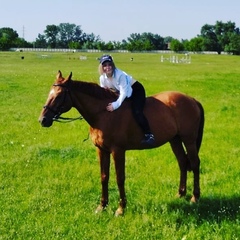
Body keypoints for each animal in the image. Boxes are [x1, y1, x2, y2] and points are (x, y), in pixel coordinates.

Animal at [39, 70, 204, 217]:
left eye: (59, 95)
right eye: (49, 93)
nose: (43, 120)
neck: (104, 114)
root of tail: (192, 99)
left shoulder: (118, 151)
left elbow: (120, 178)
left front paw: (121, 208)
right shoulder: (101, 150)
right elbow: (104, 177)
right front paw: (102, 206)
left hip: (189, 140)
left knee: (195, 163)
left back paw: (195, 197)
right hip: (174, 139)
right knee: (182, 162)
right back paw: (181, 193)